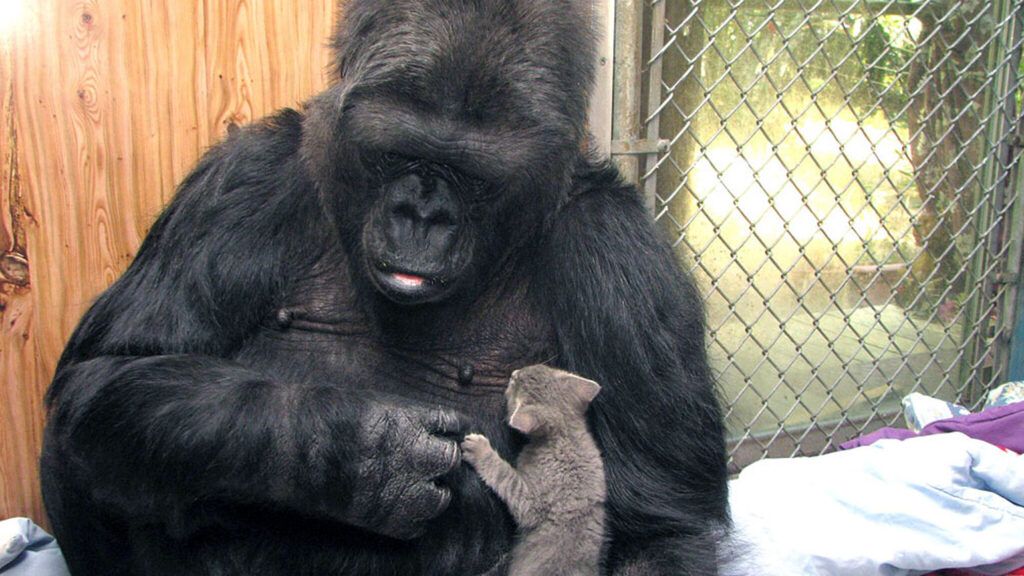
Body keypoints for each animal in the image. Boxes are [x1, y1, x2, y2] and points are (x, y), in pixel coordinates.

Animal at [462, 362, 602, 573]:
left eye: (515, 382)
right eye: (538, 366)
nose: (513, 373)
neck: (565, 435)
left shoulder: (532, 502)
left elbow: (504, 476)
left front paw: (480, 449)